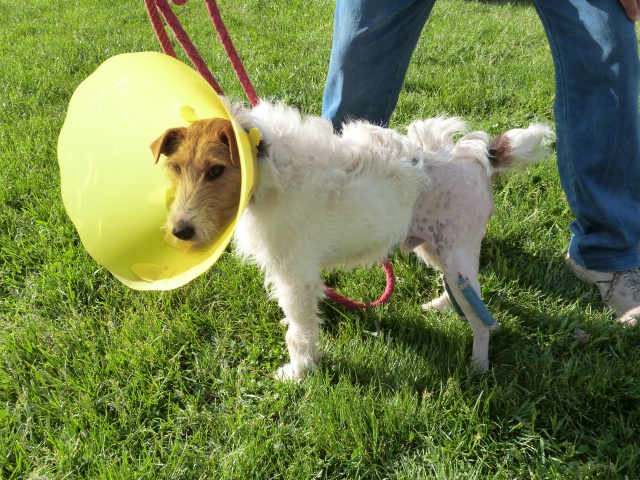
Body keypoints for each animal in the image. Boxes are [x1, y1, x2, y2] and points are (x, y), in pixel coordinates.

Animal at [151, 101, 556, 382]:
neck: (270, 169)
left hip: (456, 253)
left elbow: (299, 332)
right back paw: (442, 306)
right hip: (436, 247)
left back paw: (478, 366)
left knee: (481, 318)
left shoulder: (295, 278)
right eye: (175, 168)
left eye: (216, 170)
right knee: (464, 292)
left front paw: (297, 374)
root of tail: (478, 155)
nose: (180, 232)